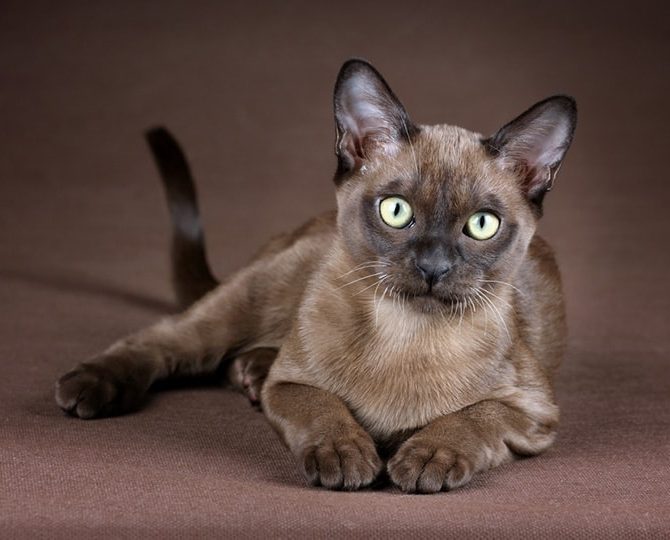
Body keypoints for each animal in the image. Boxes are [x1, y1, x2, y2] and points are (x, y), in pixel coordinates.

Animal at [55, 60, 576, 494]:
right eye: (396, 211)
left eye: (481, 224)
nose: (433, 266)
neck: (406, 334)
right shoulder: (292, 387)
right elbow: (324, 408)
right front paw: (345, 458)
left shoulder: (533, 411)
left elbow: (476, 417)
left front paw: (427, 458)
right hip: (247, 301)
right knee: (165, 340)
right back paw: (88, 388)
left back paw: (251, 372)